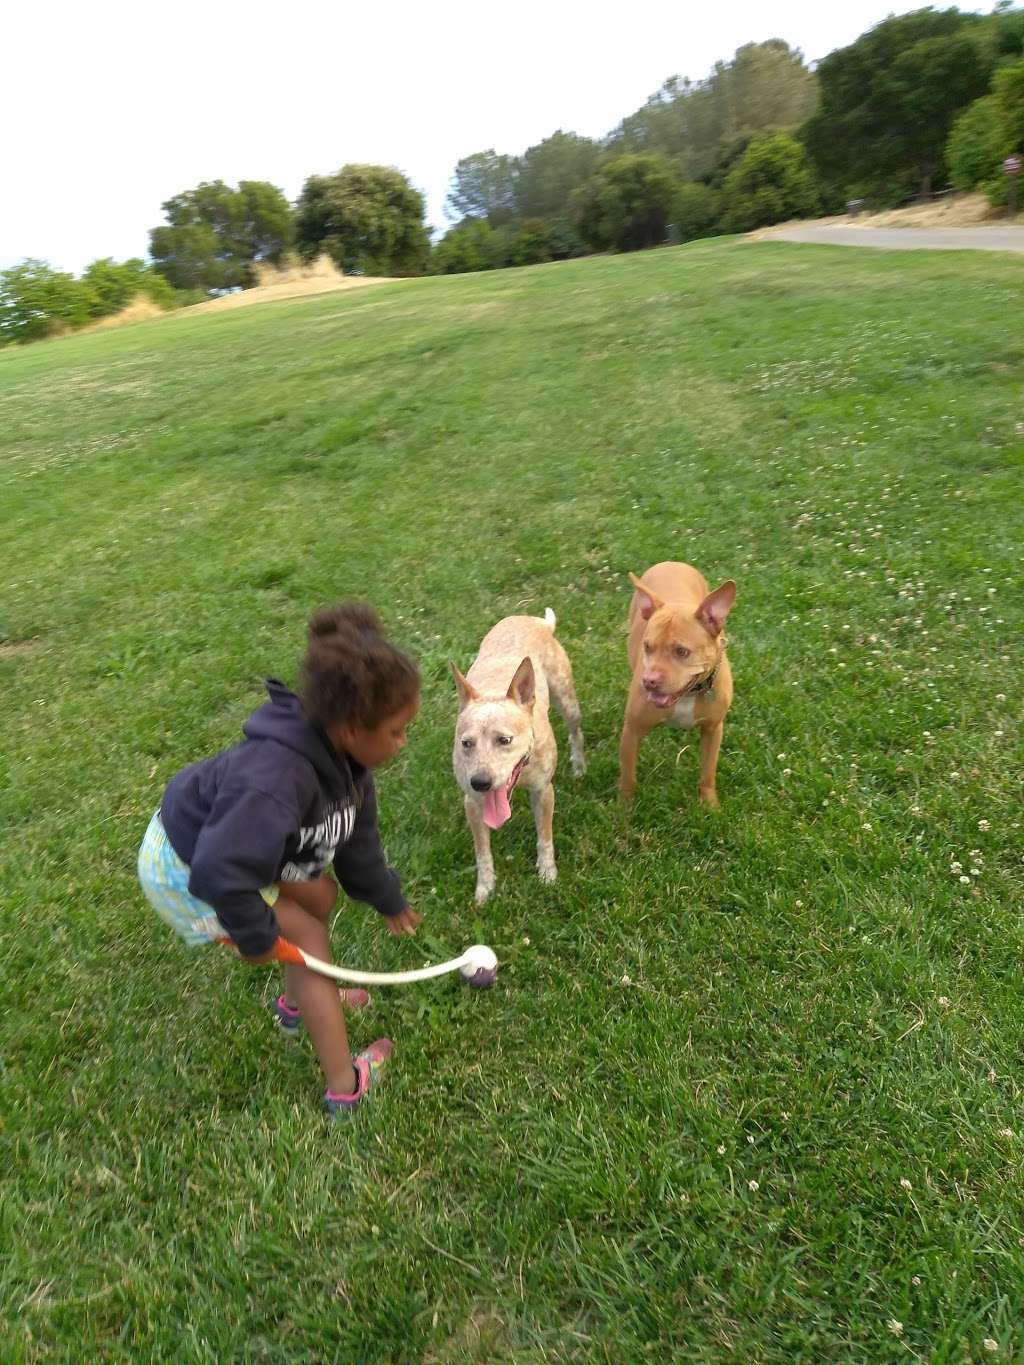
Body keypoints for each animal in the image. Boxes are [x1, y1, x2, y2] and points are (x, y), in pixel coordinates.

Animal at [450, 611, 584, 906]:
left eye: (505, 740)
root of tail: (531, 619)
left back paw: (580, 765)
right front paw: (485, 888)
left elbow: (545, 837)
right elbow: (482, 852)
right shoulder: (472, 803)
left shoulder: (543, 791)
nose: (480, 782)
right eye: (466, 743)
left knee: (575, 731)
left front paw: (547, 873)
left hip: (567, 698)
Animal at [617, 559, 737, 802]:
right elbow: (628, 776)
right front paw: (624, 806)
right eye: (647, 646)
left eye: (682, 652)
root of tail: (671, 562)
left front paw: (709, 803)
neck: (688, 694)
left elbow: (708, 772)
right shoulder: (632, 731)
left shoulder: (713, 730)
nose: (649, 681)